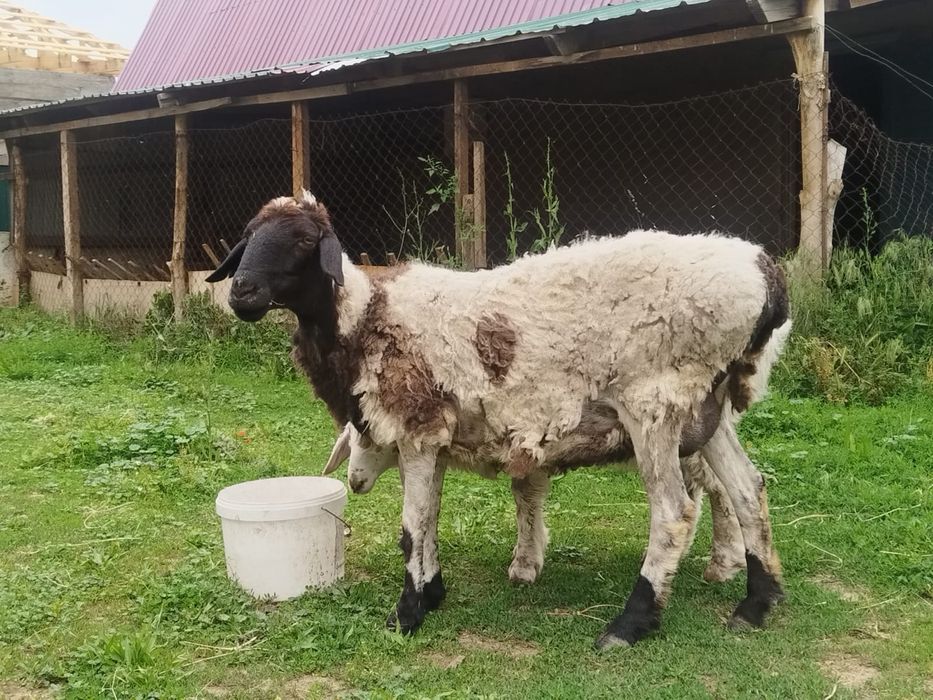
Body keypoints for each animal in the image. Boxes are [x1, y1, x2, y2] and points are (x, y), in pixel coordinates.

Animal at [207, 190, 790, 648]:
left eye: (305, 242)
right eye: (248, 238)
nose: (242, 293)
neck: (364, 317)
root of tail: (766, 276)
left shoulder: (417, 427)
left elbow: (410, 527)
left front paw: (406, 614)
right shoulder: (435, 437)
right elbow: (430, 519)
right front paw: (432, 592)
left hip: (656, 402)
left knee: (674, 512)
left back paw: (631, 623)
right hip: (707, 408)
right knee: (748, 489)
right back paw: (756, 605)